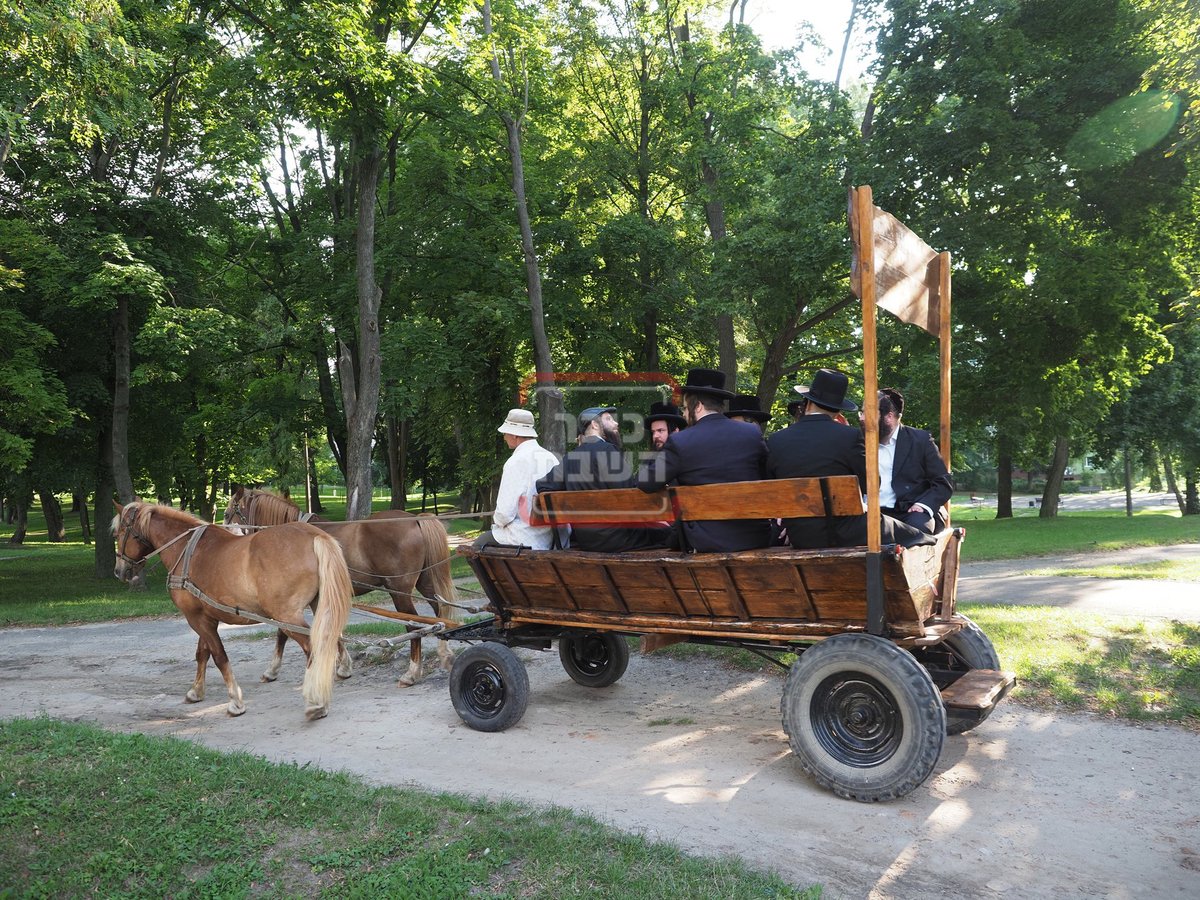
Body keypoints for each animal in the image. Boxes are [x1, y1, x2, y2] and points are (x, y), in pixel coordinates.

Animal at [112, 501, 350, 720]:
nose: (119, 571)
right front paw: (196, 691)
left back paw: (316, 702)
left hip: (287, 615)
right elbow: (202, 653)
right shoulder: (206, 617)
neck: (187, 549)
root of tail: (314, 535)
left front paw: (235, 701)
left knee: (313, 649)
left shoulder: (195, 618)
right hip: (319, 605)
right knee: (331, 637)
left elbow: (219, 656)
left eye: (120, 532)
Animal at [226, 489, 460, 686]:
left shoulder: (287, 603)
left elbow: (283, 632)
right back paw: (445, 655)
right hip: (426, 583)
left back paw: (411, 673)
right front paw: (343, 667)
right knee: (441, 613)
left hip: (399, 591)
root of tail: (415, 519)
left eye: (228, 513)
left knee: (414, 626)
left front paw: (272, 670)